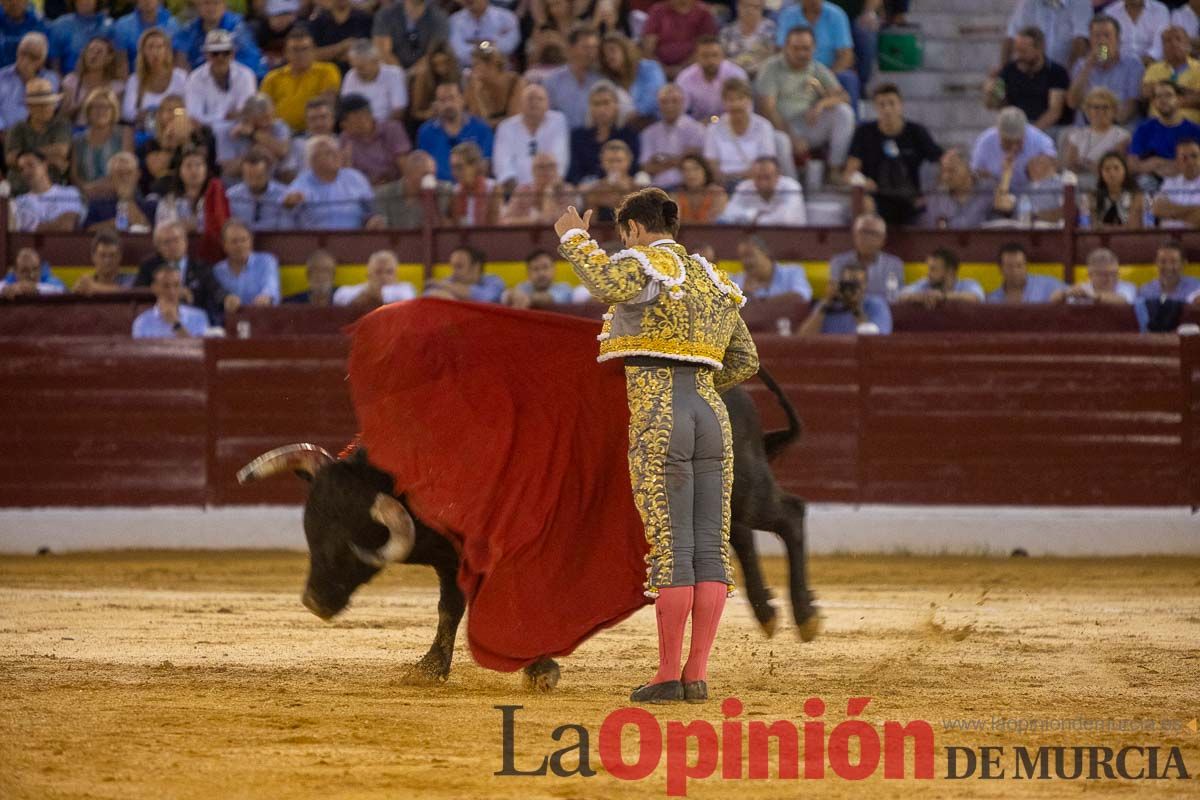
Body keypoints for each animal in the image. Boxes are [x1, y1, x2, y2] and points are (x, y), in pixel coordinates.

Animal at [238, 369, 820, 690]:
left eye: (350, 544)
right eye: (310, 530)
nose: (313, 601)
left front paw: (539, 668)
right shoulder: (454, 558)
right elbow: (450, 608)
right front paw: (430, 667)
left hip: (746, 489)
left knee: (789, 515)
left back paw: (805, 614)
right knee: (738, 537)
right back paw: (768, 613)